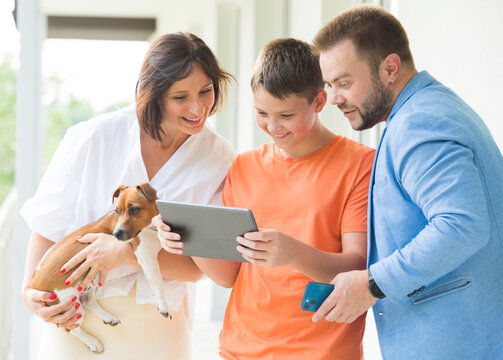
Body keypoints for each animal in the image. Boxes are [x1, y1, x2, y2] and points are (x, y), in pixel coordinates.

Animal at [30, 183, 170, 352]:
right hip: (71, 307)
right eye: (116, 211)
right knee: (72, 329)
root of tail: (33, 283)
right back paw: (92, 341)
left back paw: (108, 318)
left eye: (134, 210)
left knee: (88, 301)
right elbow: (159, 285)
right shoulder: (148, 260)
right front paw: (163, 306)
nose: (116, 234)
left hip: (91, 280)